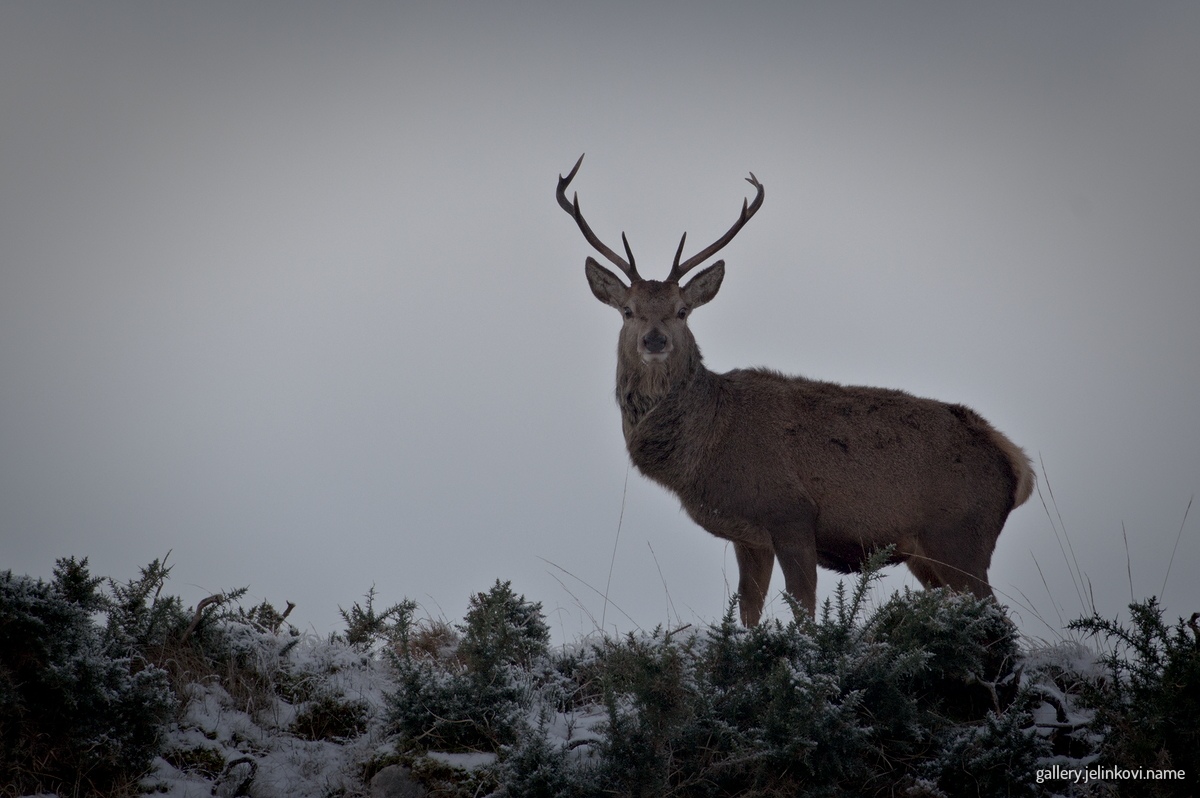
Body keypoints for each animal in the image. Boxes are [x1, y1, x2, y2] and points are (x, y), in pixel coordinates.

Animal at [557, 154, 1035, 626]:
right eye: (627, 310)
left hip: (961, 536)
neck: (709, 444)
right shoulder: (748, 535)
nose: (654, 340)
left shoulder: (791, 513)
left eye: (682, 310)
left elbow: (803, 609)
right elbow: (748, 611)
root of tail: (1018, 464)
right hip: (928, 554)